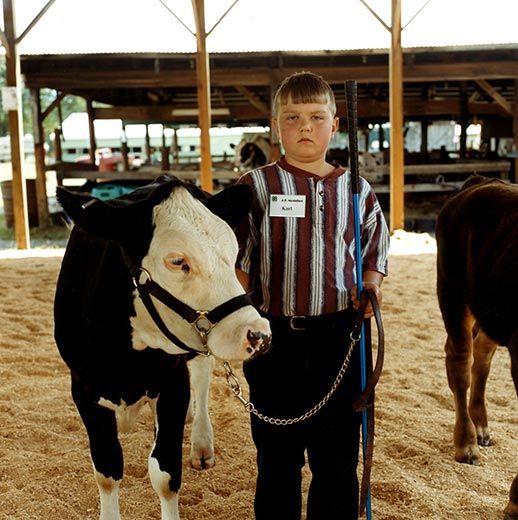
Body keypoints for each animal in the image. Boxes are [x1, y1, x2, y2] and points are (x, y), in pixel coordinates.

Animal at [53, 176, 272, 520]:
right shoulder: (83, 387)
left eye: (233, 251)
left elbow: (166, 475)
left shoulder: (173, 383)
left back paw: (201, 443)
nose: (258, 333)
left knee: (202, 375)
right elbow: (107, 470)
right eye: (178, 261)